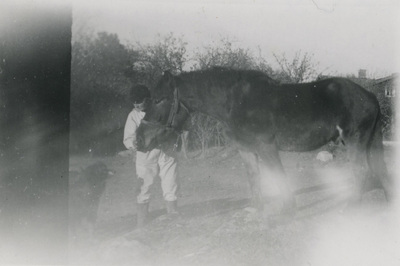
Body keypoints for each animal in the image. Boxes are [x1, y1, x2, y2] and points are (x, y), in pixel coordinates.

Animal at [136, 67, 392, 218]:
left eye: (159, 100)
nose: (138, 140)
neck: (235, 102)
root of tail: (370, 96)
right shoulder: (246, 150)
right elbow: (254, 178)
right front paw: (256, 210)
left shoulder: (266, 147)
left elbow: (278, 177)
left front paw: (286, 211)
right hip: (369, 142)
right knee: (379, 170)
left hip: (355, 141)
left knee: (361, 170)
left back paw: (351, 208)